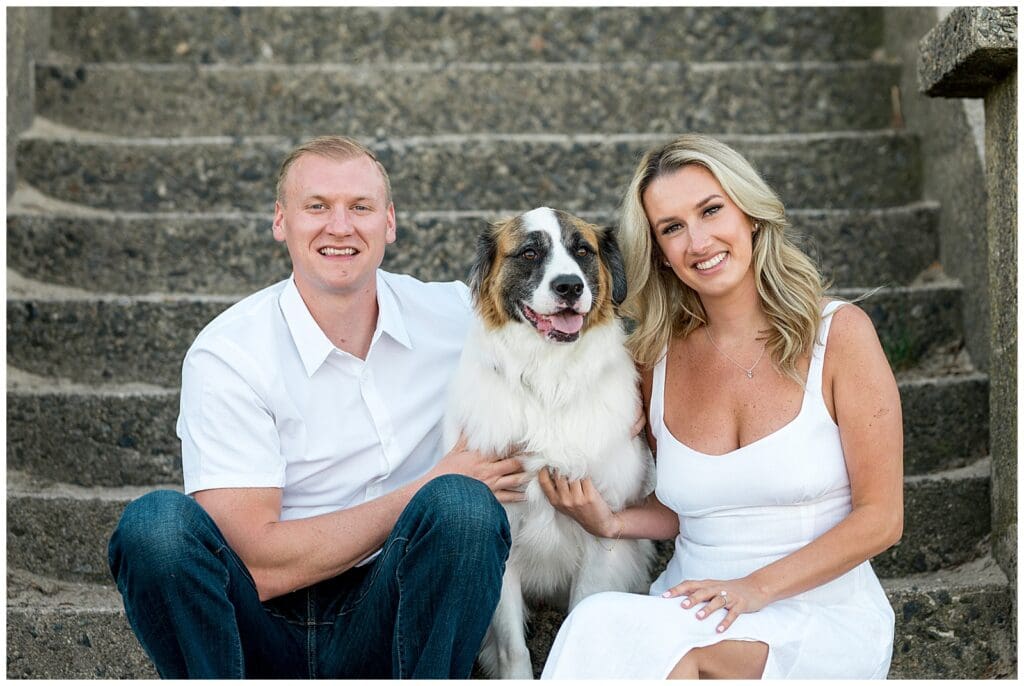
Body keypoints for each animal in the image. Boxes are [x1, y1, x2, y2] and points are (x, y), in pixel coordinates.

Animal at [442, 206, 651, 679]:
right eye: (530, 252)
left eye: (582, 251)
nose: (569, 286)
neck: (547, 383)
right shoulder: (501, 540)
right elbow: (512, 647)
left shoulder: (600, 534)